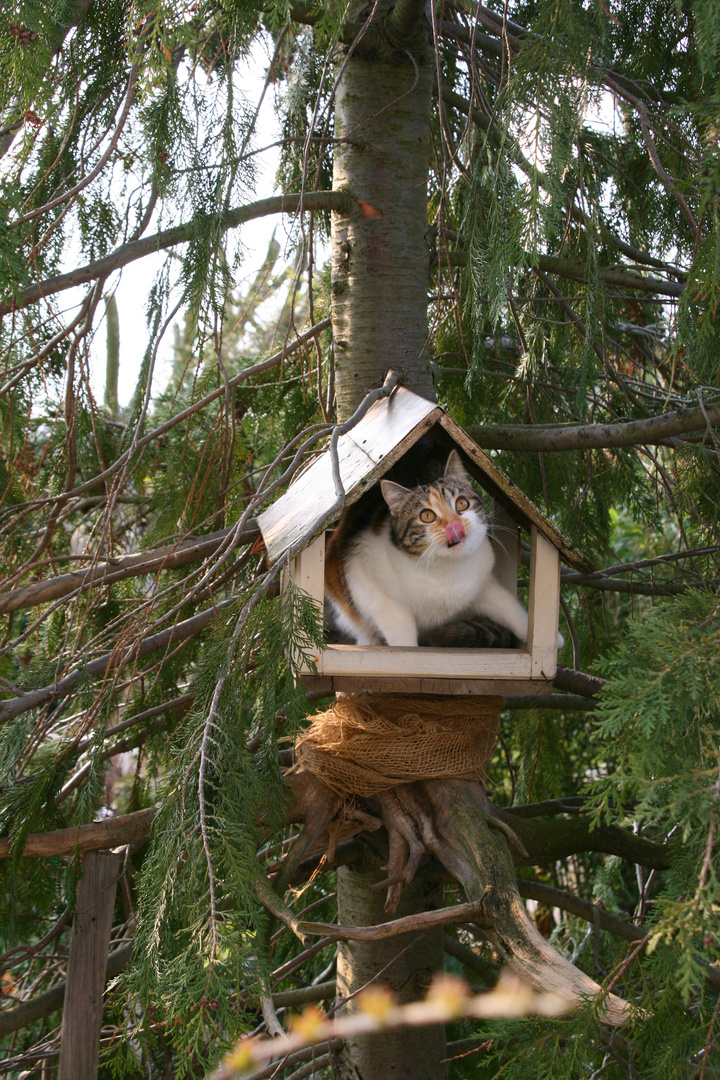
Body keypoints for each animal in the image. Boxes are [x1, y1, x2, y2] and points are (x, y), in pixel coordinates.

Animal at [323, 449, 533, 648]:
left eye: (462, 503)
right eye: (427, 516)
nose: (455, 526)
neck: (447, 570)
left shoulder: (484, 584)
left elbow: (508, 607)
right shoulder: (373, 589)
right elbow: (402, 637)